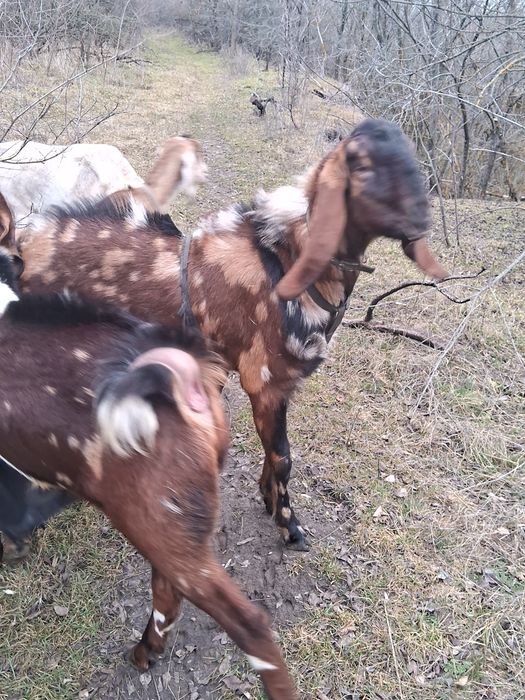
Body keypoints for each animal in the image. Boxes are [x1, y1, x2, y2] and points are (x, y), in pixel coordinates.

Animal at [0, 249, 297, 700]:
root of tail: (181, 377)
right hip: (167, 525)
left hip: (158, 526)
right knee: (166, 593)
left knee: (250, 625)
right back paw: (145, 652)